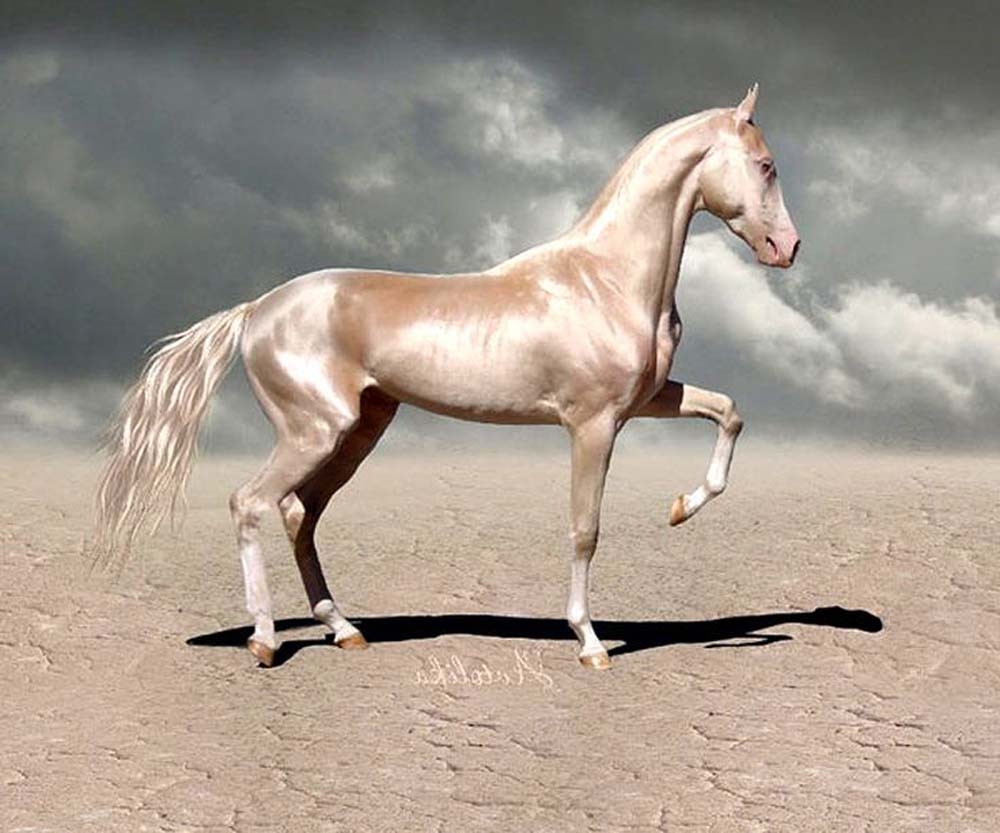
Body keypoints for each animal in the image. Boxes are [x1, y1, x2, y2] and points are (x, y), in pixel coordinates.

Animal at [95, 84, 800, 670]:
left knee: (301, 514)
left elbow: (729, 411)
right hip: (314, 431)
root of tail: (256, 310)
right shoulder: (592, 425)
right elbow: (585, 530)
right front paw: (591, 644)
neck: (606, 279)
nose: (787, 248)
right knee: (251, 503)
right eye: (766, 166)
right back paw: (265, 642)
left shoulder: (646, 401)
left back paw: (345, 631)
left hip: (358, 432)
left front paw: (682, 508)